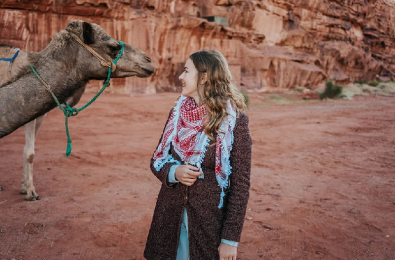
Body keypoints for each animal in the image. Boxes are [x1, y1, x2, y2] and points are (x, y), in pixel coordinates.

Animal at [0, 20, 155, 200]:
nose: (149, 60)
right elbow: (30, 152)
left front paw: (26, 188)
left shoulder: (39, 116)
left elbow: (28, 150)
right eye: (114, 47)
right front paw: (31, 192)